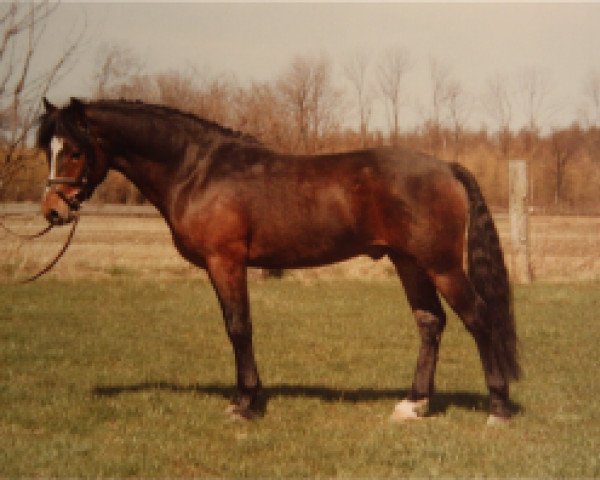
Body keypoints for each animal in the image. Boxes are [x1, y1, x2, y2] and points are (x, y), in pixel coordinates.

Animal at [37, 96, 516, 424]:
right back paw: (413, 404)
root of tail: (446, 167)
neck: (197, 170)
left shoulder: (226, 261)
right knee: (430, 322)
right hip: (409, 263)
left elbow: (238, 327)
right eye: (49, 149)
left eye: (75, 150)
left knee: (478, 318)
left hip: (441, 266)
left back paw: (497, 407)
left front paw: (245, 403)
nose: (54, 211)